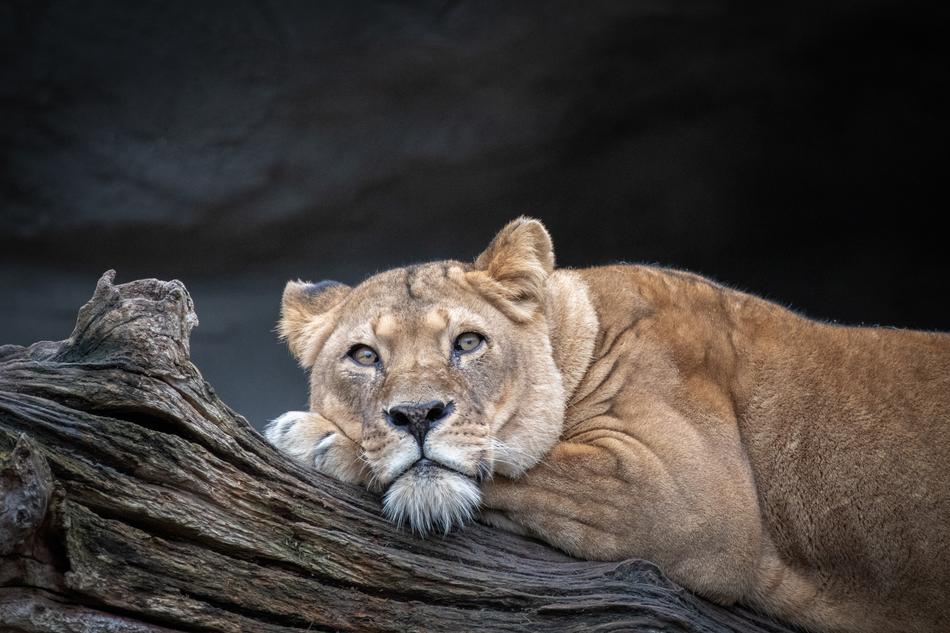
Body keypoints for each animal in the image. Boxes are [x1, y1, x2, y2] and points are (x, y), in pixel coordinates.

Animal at [265, 217, 950, 633]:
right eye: (364, 356)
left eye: (468, 342)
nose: (416, 415)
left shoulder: (690, 494)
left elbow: (533, 464)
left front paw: (316, 437)